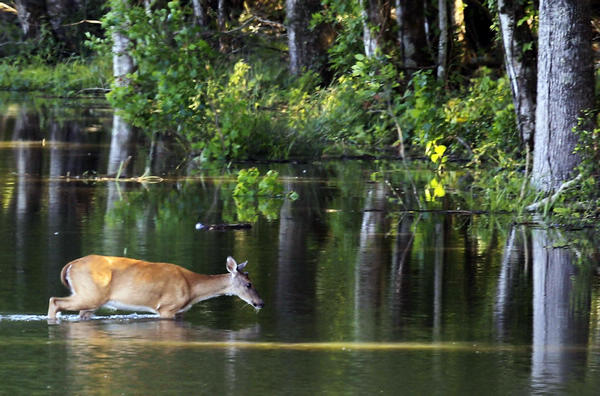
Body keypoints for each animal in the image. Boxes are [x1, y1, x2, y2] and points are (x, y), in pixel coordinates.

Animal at [47, 255, 262, 320]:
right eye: (249, 284)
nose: (261, 303)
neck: (192, 288)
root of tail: (71, 264)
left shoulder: (180, 311)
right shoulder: (167, 307)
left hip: (90, 300)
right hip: (90, 294)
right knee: (54, 300)